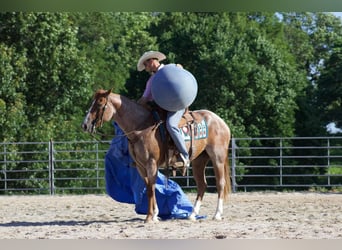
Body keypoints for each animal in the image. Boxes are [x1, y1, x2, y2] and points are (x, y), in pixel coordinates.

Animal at [81, 88, 231, 223]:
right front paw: (154, 215)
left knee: (220, 183)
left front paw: (149, 217)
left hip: (217, 158)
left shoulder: (151, 163)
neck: (141, 128)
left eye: (99, 103)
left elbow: (151, 188)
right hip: (199, 161)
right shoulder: (141, 166)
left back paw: (217, 214)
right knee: (202, 185)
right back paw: (192, 215)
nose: (85, 125)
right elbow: (149, 188)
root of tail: (220, 121)